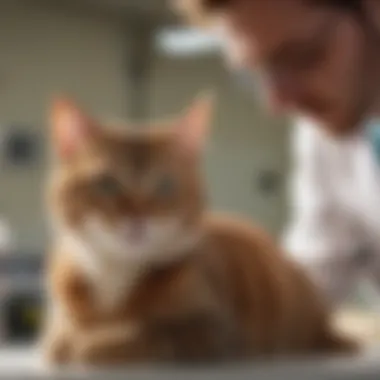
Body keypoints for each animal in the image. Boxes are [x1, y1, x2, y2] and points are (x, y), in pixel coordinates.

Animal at [43, 93, 358, 366]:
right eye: (106, 183)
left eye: (165, 185)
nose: (137, 218)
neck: (116, 274)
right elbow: (60, 340)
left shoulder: (215, 332)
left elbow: (141, 336)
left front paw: (92, 343)